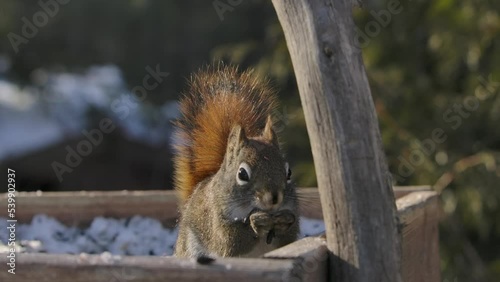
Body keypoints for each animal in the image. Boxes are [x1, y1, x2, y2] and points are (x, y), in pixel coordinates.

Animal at [173, 64, 296, 258]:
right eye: (242, 174)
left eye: (289, 172)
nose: (274, 198)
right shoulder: (216, 221)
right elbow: (231, 241)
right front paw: (256, 222)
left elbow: (289, 239)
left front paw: (285, 221)